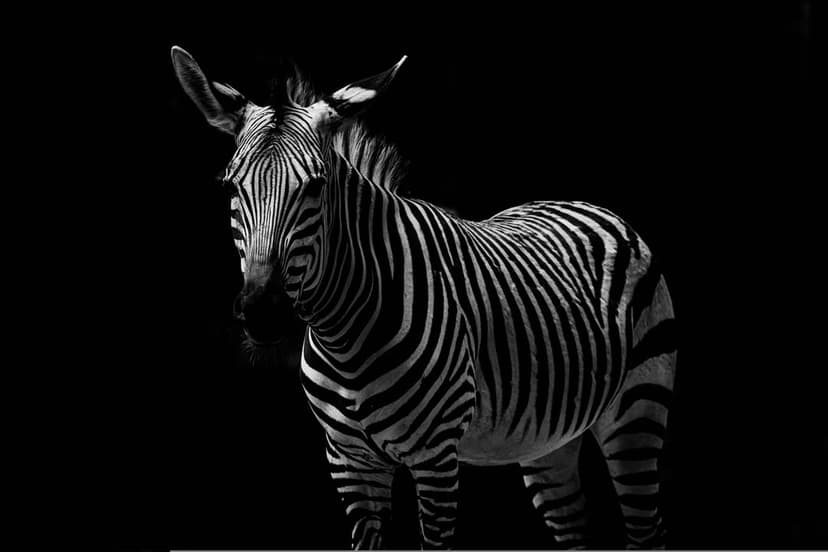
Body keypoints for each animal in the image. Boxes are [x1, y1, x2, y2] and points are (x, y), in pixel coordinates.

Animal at [171, 46, 678, 550]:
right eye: (229, 186)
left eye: (316, 186)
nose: (262, 312)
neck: (344, 332)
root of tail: (584, 203)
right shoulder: (349, 463)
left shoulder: (435, 457)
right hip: (550, 438)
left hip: (637, 412)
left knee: (646, 529)